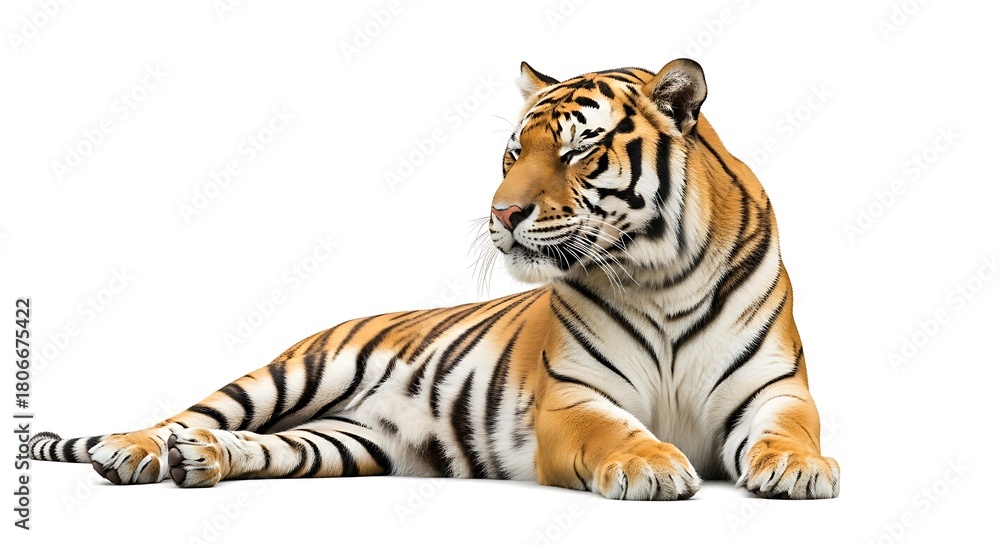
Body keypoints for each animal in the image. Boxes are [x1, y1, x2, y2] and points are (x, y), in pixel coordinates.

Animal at [29, 58, 839, 500]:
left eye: (578, 152)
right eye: (513, 153)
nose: (502, 212)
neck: (657, 275)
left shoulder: (774, 390)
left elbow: (788, 432)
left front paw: (800, 470)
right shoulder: (574, 399)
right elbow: (617, 431)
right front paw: (652, 465)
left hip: (345, 441)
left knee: (259, 445)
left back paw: (201, 459)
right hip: (290, 374)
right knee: (189, 412)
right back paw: (132, 450)